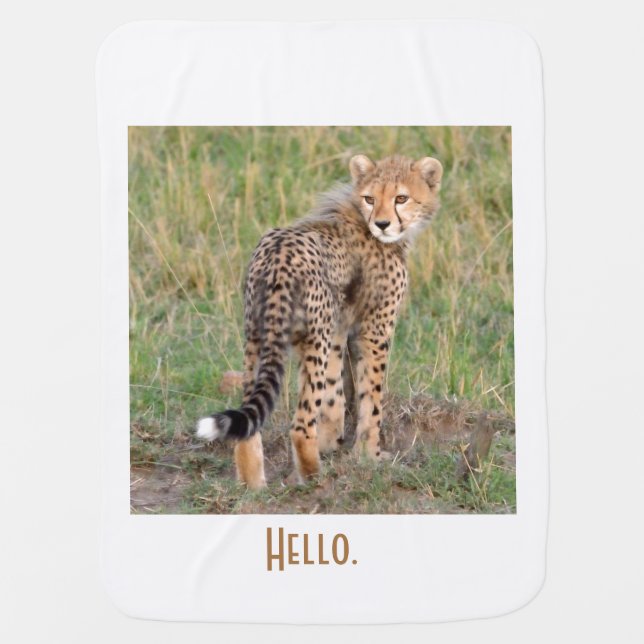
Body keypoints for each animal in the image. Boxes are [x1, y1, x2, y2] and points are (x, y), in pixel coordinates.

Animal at [196, 153, 443, 489]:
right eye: (370, 198)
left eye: (401, 198)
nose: (382, 224)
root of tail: (276, 255)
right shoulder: (375, 329)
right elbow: (371, 397)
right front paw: (369, 455)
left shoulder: (338, 328)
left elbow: (333, 392)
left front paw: (331, 442)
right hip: (313, 341)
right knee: (300, 424)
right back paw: (314, 478)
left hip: (257, 337)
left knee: (251, 424)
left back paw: (254, 488)